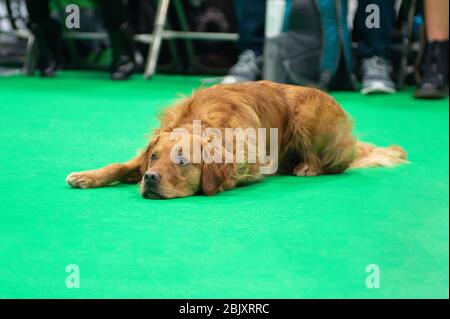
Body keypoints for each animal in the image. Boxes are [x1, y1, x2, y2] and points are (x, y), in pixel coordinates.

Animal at [67, 80, 408, 200]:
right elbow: (119, 165)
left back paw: (306, 167)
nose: (150, 178)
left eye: (182, 161)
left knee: (326, 162)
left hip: (308, 111)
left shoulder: (248, 166)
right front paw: (86, 176)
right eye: (154, 158)